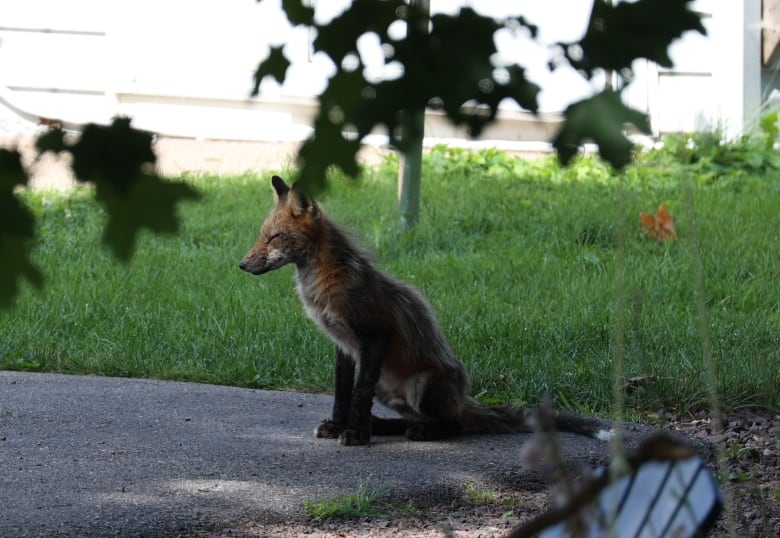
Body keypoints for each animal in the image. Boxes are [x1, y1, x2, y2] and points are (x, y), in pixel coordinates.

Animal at [239, 176, 616, 444]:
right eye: (262, 235)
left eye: (274, 238)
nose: (241, 265)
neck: (321, 283)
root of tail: (465, 398)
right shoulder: (344, 346)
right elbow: (342, 393)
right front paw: (339, 425)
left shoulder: (373, 336)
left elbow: (358, 394)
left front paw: (356, 434)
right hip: (389, 388)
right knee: (415, 418)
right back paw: (387, 426)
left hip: (421, 385)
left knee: (454, 425)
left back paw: (417, 431)